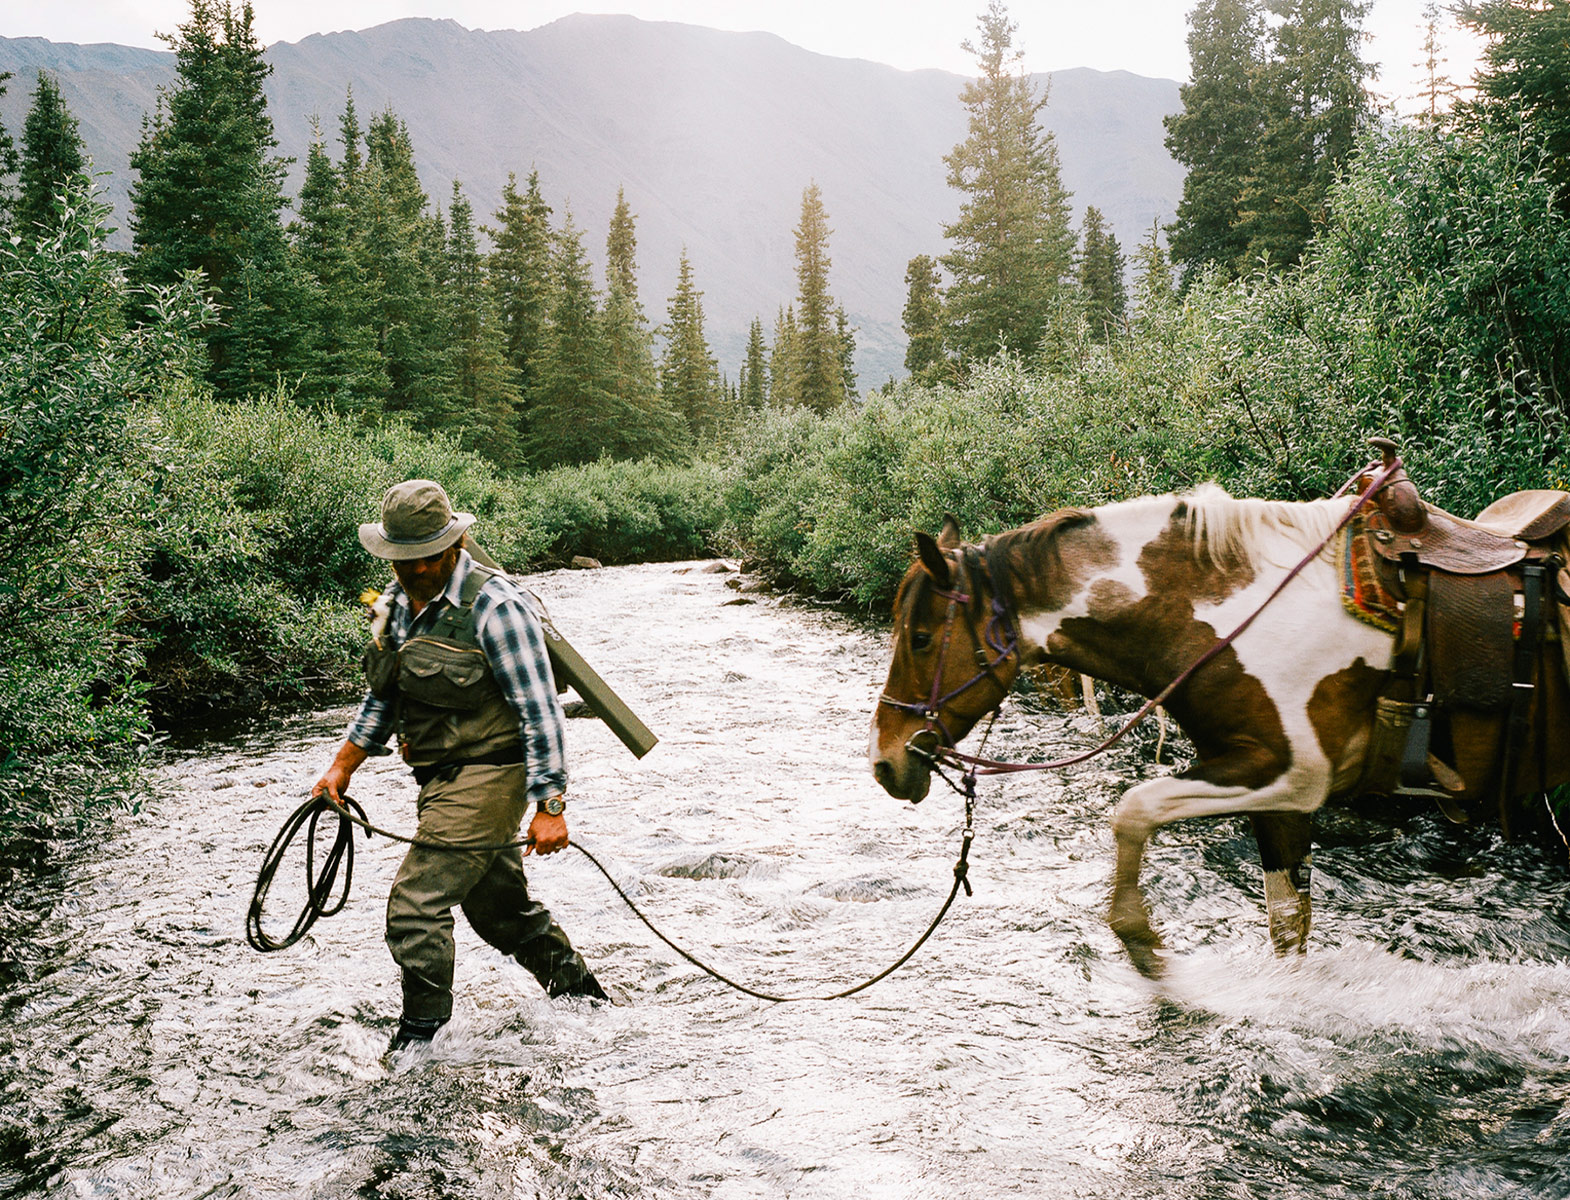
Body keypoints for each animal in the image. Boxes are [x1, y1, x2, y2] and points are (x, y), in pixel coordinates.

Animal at [869, 477, 1570, 978]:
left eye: (922, 637)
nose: (885, 763)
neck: (1232, 615)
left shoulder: (1291, 776)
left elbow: (1135, 806)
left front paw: (1142, 942)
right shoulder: (1278, 800)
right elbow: (1289, 924)